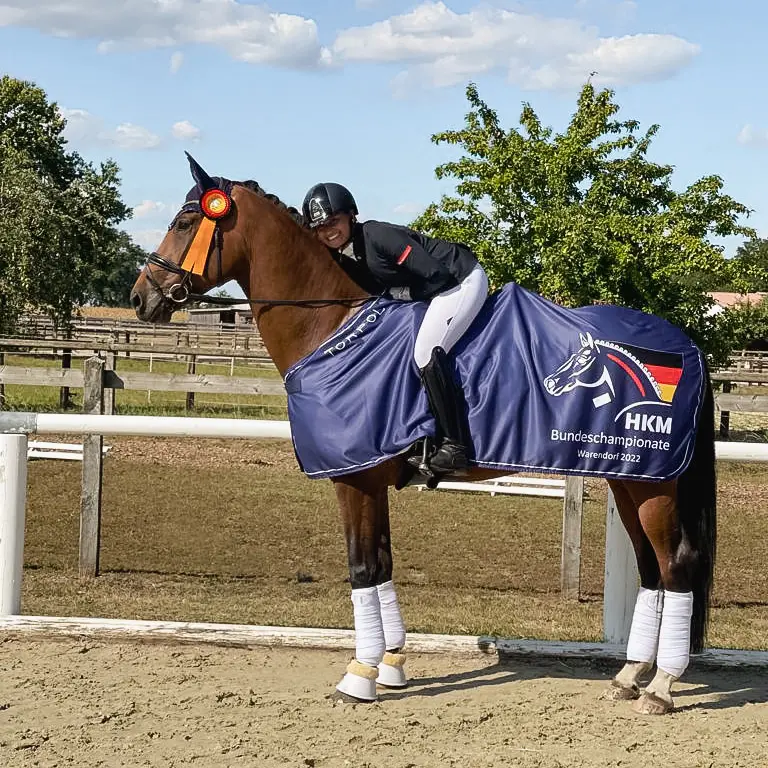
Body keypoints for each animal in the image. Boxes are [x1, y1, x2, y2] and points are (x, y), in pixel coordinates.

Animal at [130, 156, 716, 715]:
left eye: (184, 222)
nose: (140, 299)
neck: (330, 330)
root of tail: (686, 343)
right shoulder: (372, 479)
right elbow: (384, 565)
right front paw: (389, 666)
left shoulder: (354, 480)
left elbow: (362, 568)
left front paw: (358, 677)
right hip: (630, 477)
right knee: (652, 569)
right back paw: (629, 677)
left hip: (651, 483)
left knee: (676, 564)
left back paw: (661, 687)